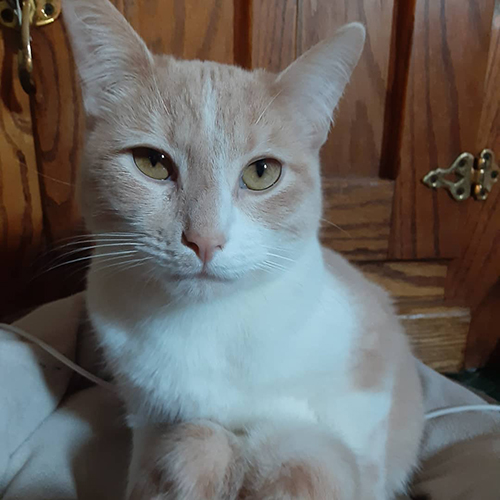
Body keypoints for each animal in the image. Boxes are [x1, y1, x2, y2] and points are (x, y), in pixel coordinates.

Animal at [61, 0, 422, 498]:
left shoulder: (367, 390)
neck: (208, 327)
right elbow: (179, 452)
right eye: (152, 162)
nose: (204, 239)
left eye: (262, 172)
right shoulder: (147, 417)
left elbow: (330, 459)